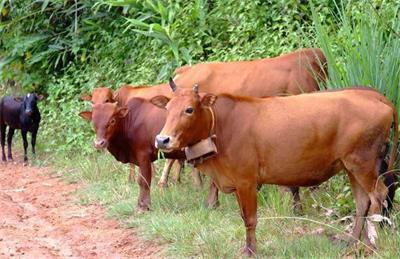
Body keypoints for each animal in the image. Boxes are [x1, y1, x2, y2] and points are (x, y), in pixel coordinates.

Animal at [150, 86, 396, 256]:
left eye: (189, 109)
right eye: (167, 109)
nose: (162, 139)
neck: (221, 125)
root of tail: (375, 97)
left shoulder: (246, 181)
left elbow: (250, 218)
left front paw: (250, 251)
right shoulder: (237, 182)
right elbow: (244, 216)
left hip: (363, 163)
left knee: (378, 196)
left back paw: (370, 245)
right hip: (350, 166)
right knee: (362, 202)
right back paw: (352, 242)